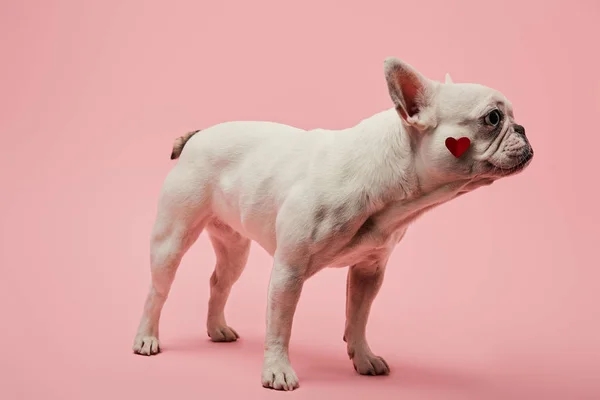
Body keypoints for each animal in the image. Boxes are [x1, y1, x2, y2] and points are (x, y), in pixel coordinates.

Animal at [132, 57, 536, 390]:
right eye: (493, 118)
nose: (522, 128)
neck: (392, 182)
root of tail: (197, 136)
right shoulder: (289, 270)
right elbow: (280, 324)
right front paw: (277, 371)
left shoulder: (369, 270)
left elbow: (357, 317)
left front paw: (363, 357)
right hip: (172, 240)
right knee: (157, 291)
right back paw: (147, 338)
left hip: (234, 249)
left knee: (220, 281)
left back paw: (216, 329)